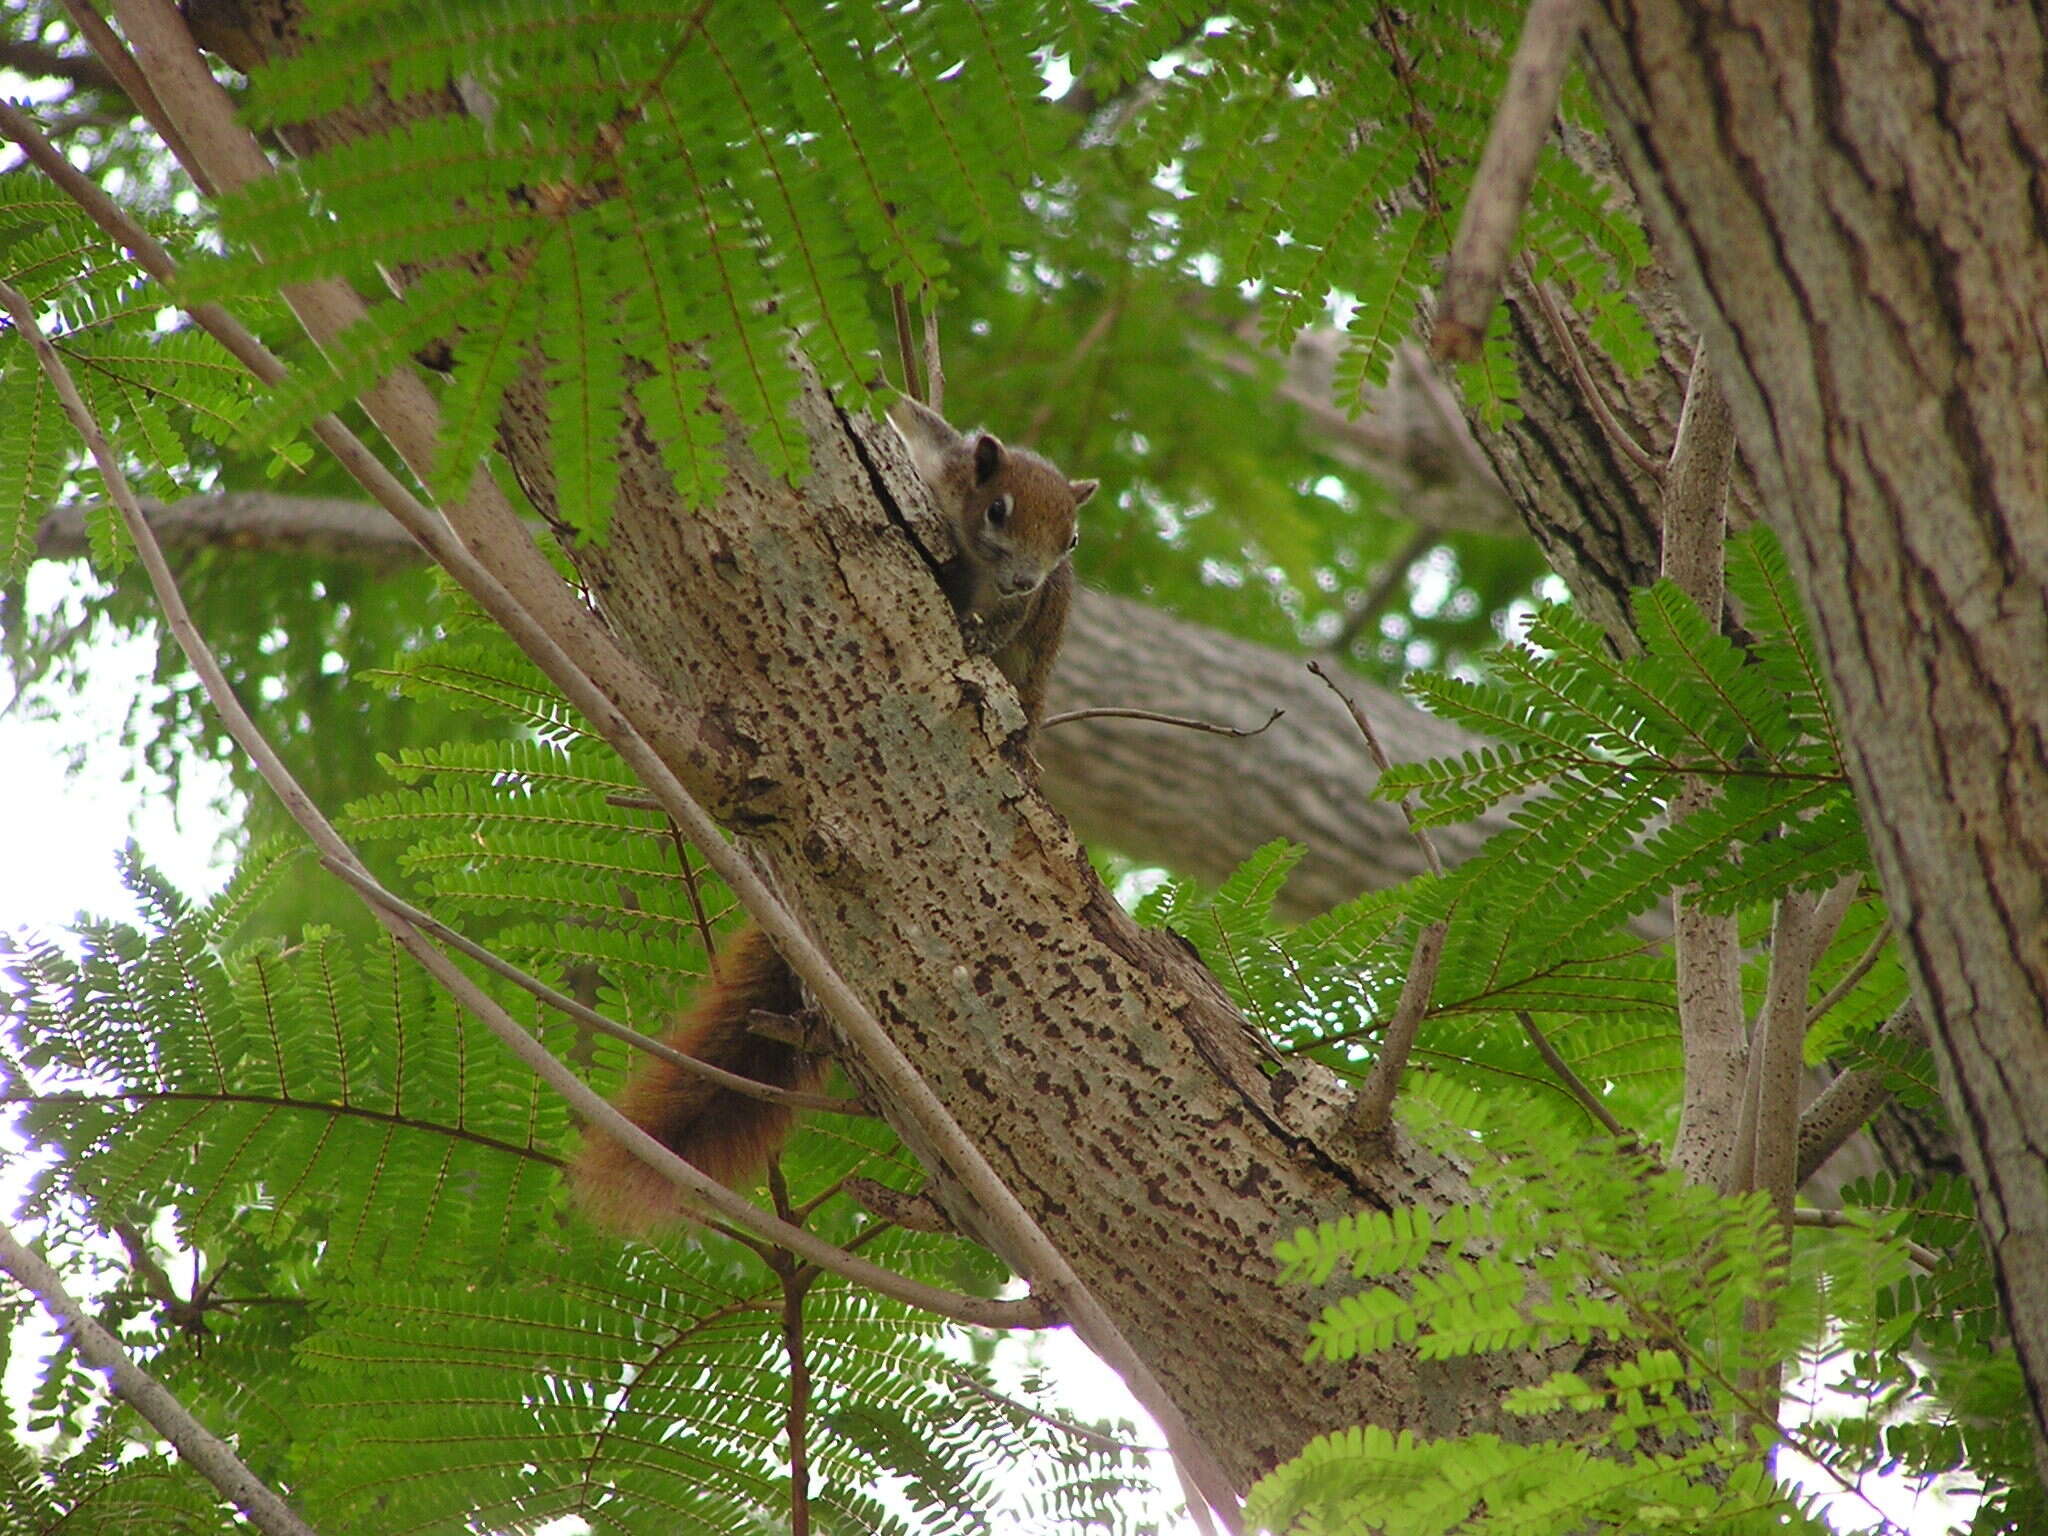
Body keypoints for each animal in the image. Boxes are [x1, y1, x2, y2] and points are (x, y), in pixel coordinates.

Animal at [569, 399, 1097, 1236]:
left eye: (1072, 539)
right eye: (999, 509)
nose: (1023, 575)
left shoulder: (1030, 608)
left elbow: (1006, 625)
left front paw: (980, 629)